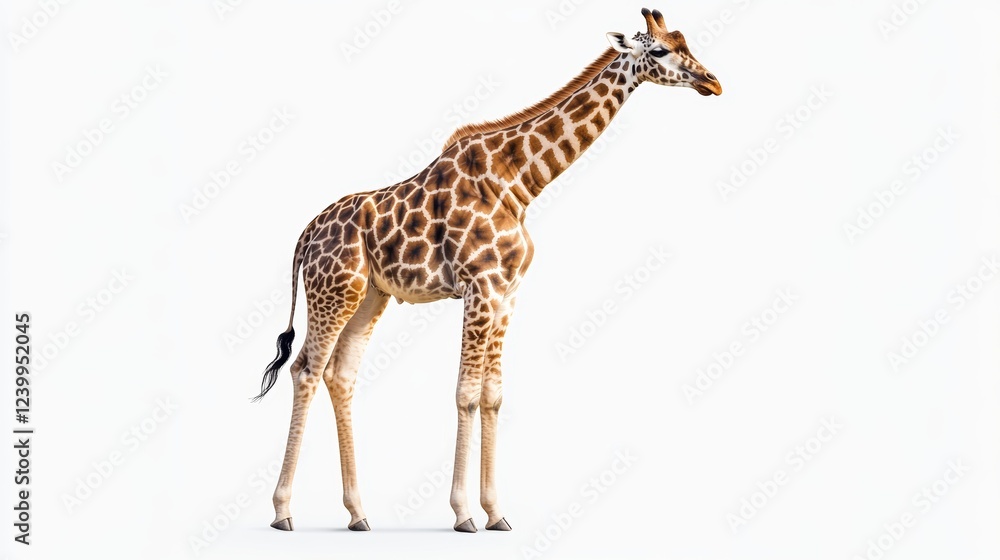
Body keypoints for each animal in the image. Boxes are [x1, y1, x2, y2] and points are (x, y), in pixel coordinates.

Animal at [253, 7, 721, 533]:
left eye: (686, 42)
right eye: (659, 50)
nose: (713, 82)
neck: (520, 183)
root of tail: (304, 236)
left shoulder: (506, 292)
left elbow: (493, 395)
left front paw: (496, 512)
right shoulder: (479, 285)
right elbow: (466, 393)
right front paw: (462, 514)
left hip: (370, 297)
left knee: (341, 375)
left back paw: (358, 514)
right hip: (334, 291)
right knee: (306, 371)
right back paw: (283, 512)